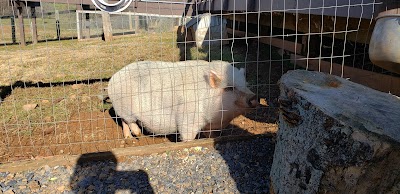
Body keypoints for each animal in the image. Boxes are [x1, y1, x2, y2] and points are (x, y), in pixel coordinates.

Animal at [108, 59, 258, 142]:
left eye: (245, 85)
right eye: (229, 88)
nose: (254, 97)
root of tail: (112, 79)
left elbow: (209, 135)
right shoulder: (188, 119)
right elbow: (187, 137)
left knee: (123, 121)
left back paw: (129, 139)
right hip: (125, 107)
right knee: (128, 120)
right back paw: (138, 134)